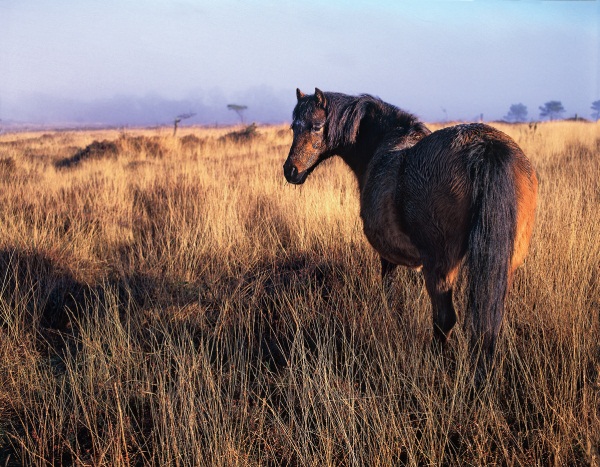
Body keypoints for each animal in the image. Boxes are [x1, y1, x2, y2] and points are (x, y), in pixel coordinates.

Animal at [282, 88, 540, 372]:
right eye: (294, 127)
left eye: (317, 126)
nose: (291, 171)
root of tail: (485, 147)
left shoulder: (387, 256)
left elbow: (388, 291)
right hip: (505, 264)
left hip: (440, 266)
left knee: (444, 320)